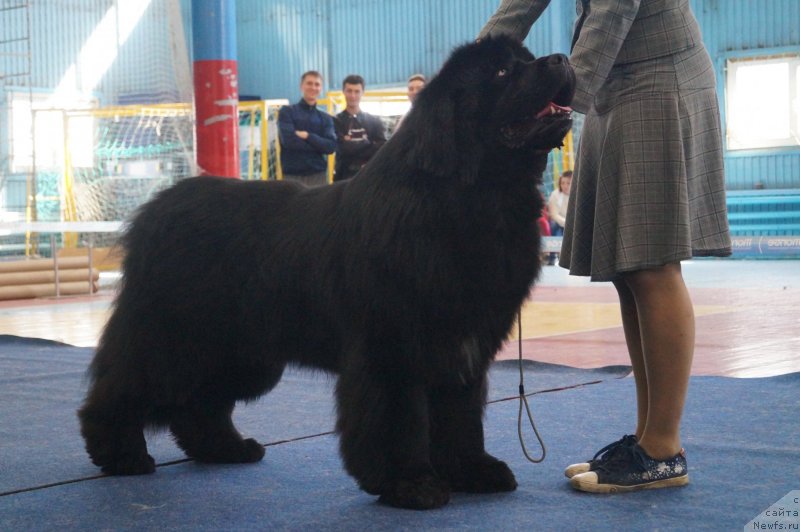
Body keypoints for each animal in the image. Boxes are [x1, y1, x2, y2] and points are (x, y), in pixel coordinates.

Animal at [78, 35, 572, 510]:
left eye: (525, 58)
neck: (471, 195)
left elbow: (461, 415)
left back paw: (227, 449)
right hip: (172, 336)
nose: (562, 59)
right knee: (124, 387)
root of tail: (156, 208)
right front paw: (409, 485)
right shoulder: (394, 346)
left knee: (199, 403)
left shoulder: (463, 346)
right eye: (503, 71)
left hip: (241, 351)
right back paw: (121, 454)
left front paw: (473, 471)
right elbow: (400, 419)